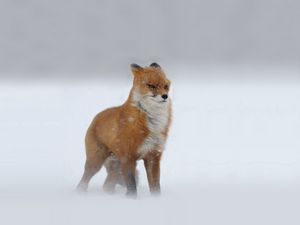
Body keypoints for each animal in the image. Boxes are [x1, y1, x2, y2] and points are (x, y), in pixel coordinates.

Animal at [76, 62, 172, 196]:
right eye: (151, 86)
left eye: (166, 86)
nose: (165, 96)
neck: (152, 123)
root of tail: (95, 118)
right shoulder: (128, 157)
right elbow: (131, 186)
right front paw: (131, 199)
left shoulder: (153, 156)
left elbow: (156, 187)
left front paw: (156, 199)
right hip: (96, 161)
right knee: (84, 181)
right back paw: (80, 193)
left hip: (116, 166)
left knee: (107, 185)